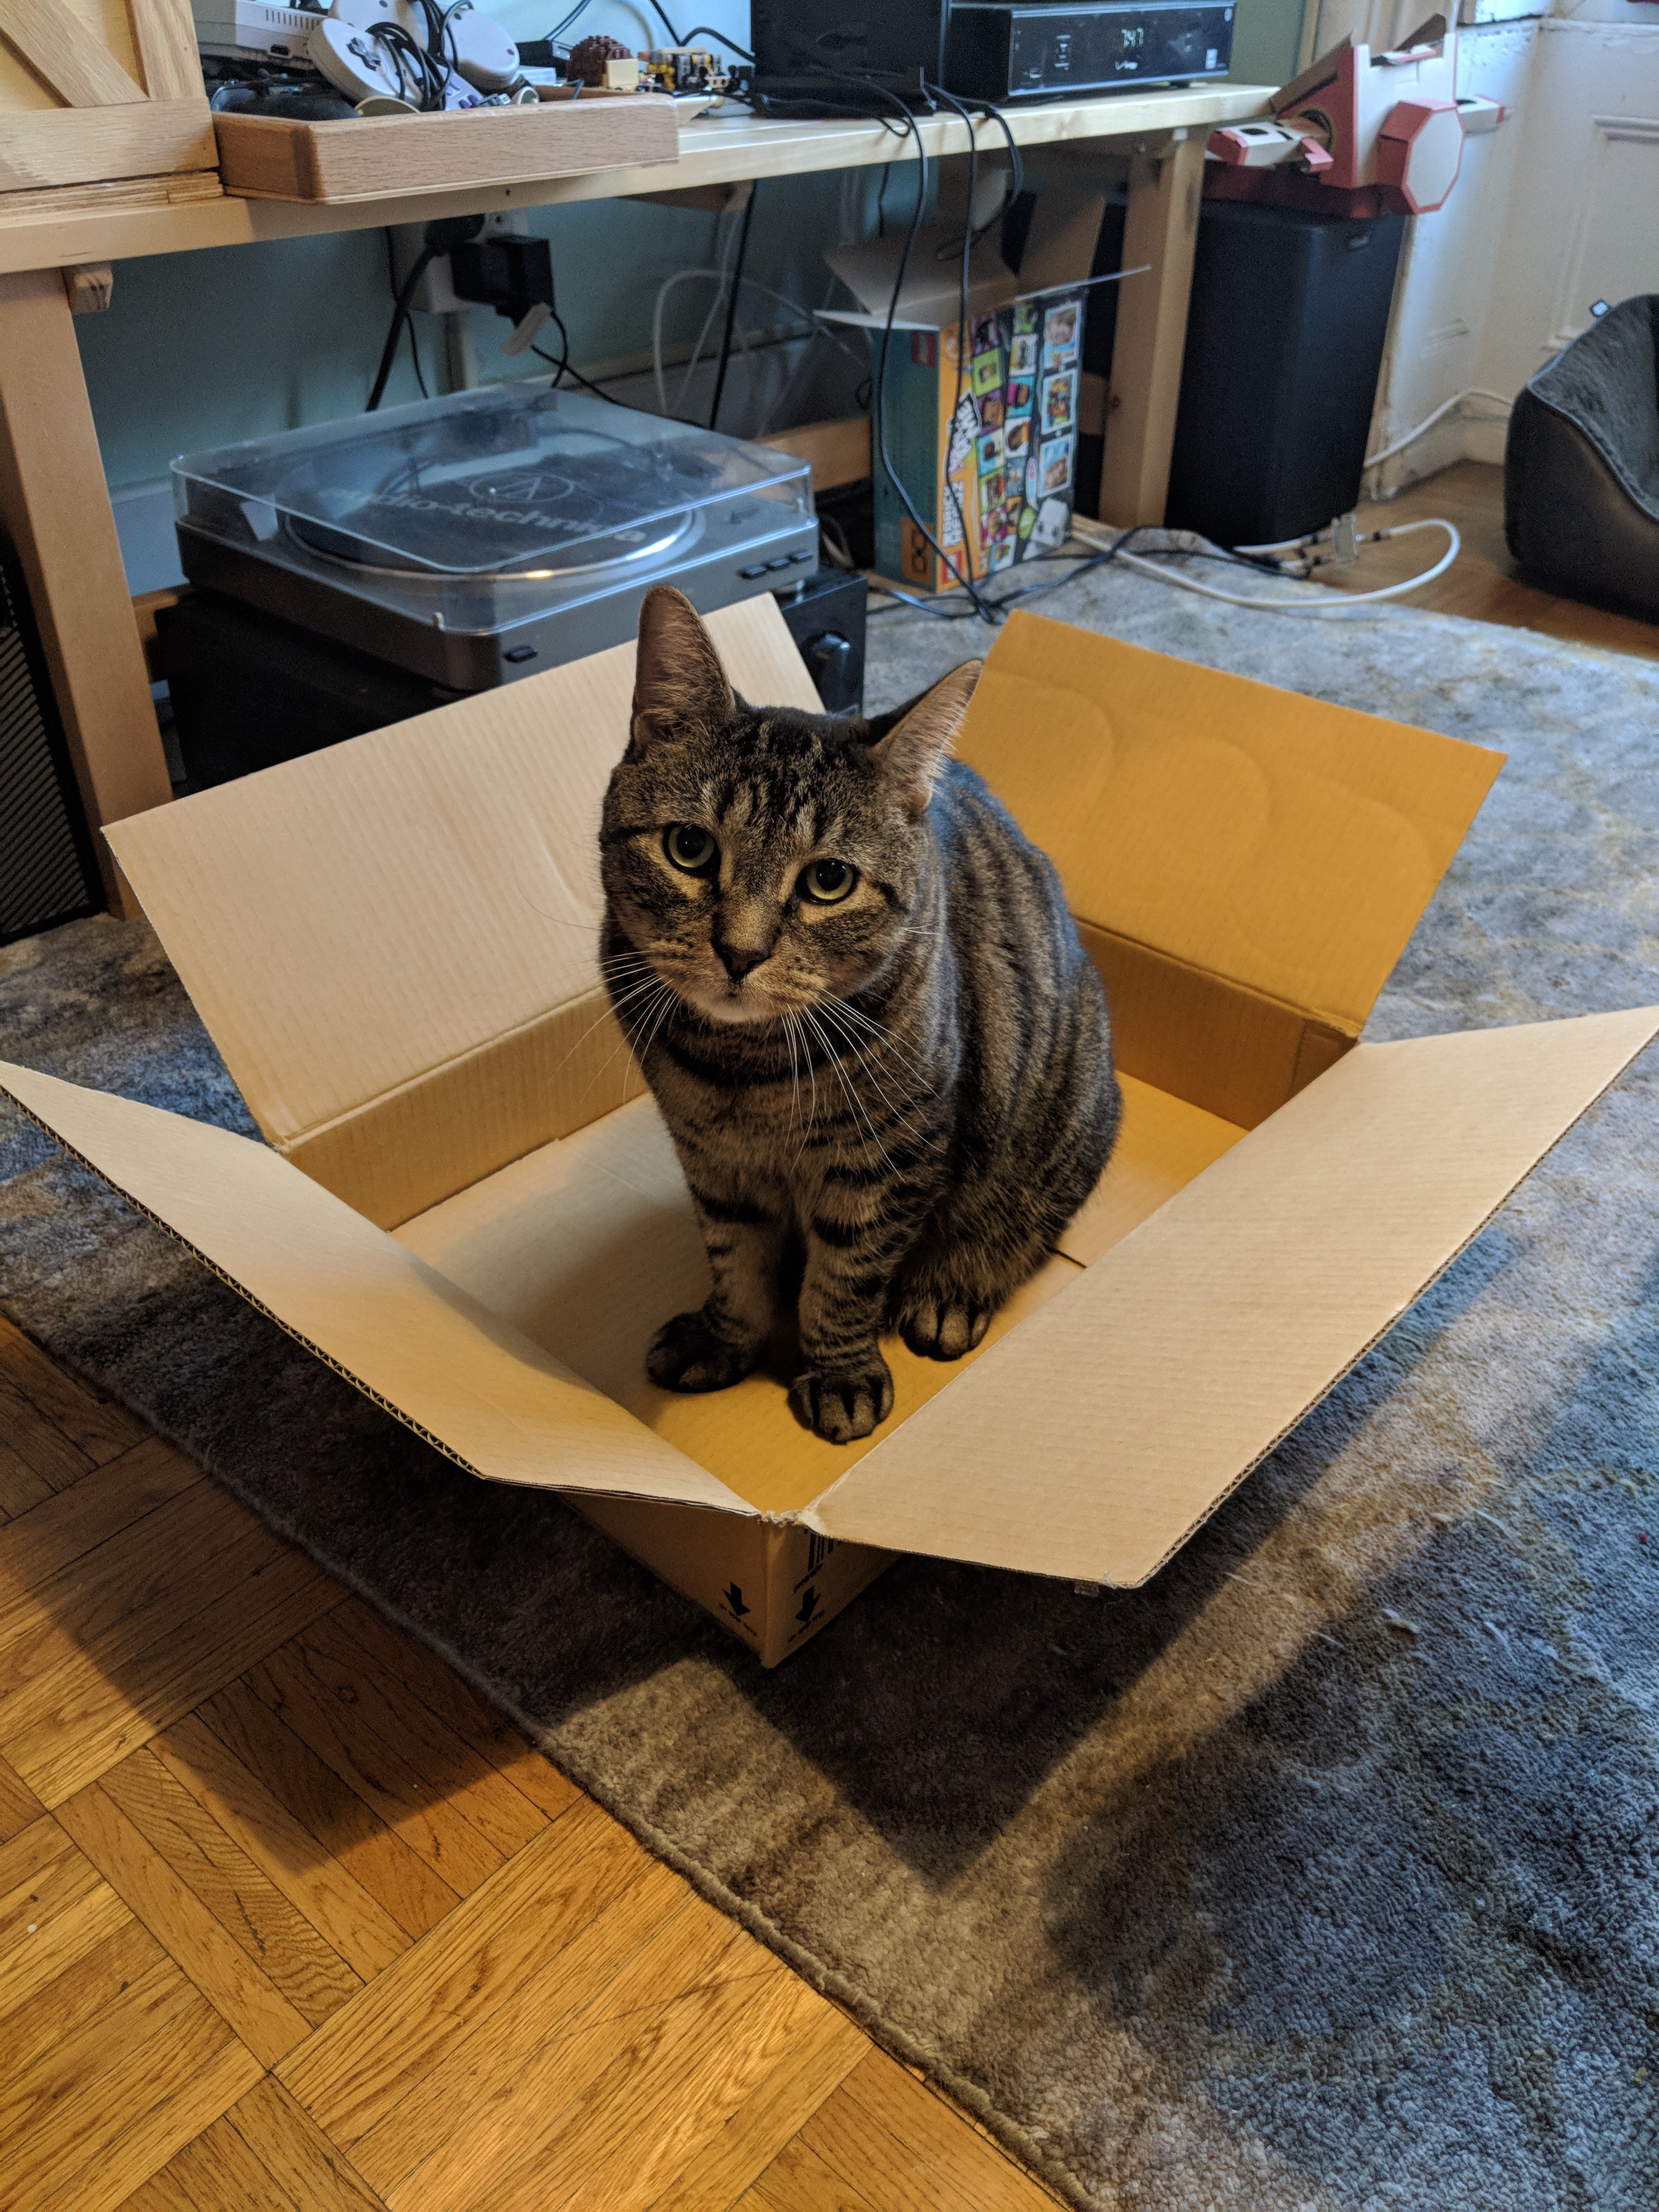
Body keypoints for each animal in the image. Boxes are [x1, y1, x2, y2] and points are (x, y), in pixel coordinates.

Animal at [597, 588, 1119, 1451]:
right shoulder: (711, 1156)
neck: (747, 1068)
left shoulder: (886, 1161)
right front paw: (725, 1334)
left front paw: (839, 1371)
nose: (740, 952)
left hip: (1058, 1134)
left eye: (829, 881)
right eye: (690, 847)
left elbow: (845, 1278)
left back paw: (951, 1291)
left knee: (1016, 1228)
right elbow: (734, 1257)